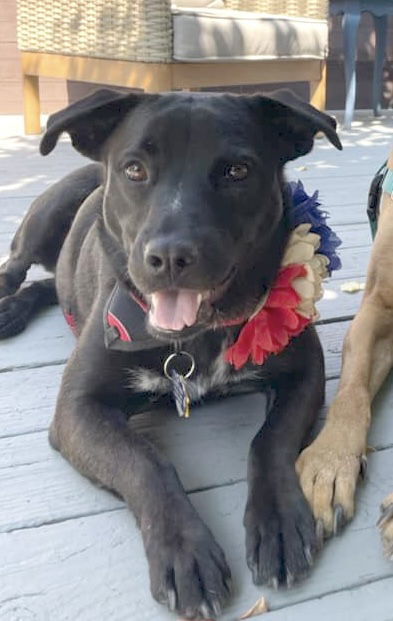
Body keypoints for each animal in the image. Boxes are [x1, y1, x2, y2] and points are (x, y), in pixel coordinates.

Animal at [0, 89, 340, 616]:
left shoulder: (305, 372)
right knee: (17, 266)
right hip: (47, 214)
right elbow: (145, 462)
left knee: (47, 284)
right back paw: (6, 305)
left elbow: (270, 439)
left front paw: (280, 522)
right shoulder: (77, 409)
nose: (171, 256)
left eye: (237, 171)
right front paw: (186, 552)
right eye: (134, 169)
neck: (190, 340)